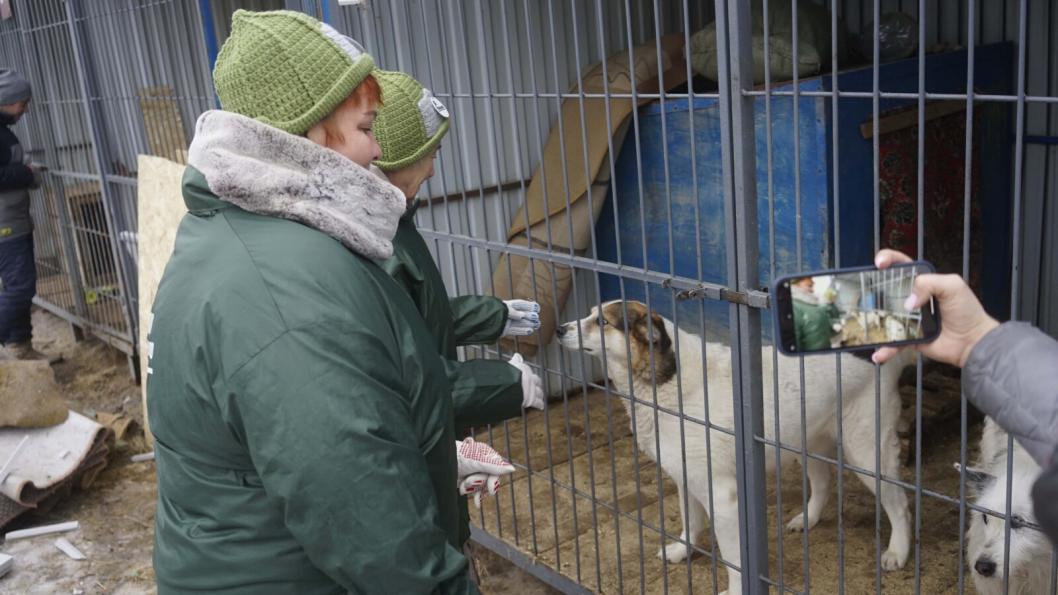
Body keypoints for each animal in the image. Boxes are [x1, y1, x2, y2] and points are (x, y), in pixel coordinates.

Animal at [554, 300, 909, 592]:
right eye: (590, 314)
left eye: (602, 322)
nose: (558, 329)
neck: (671, 384)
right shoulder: (686, 479)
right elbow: (690, 522)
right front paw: (682, 550)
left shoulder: (721, 496)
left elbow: (732, 557)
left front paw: (736, 589)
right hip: (806, 442)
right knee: (823, 482)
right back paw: (808, 519)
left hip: (867, 452)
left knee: (899, 503)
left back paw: (898, 551)